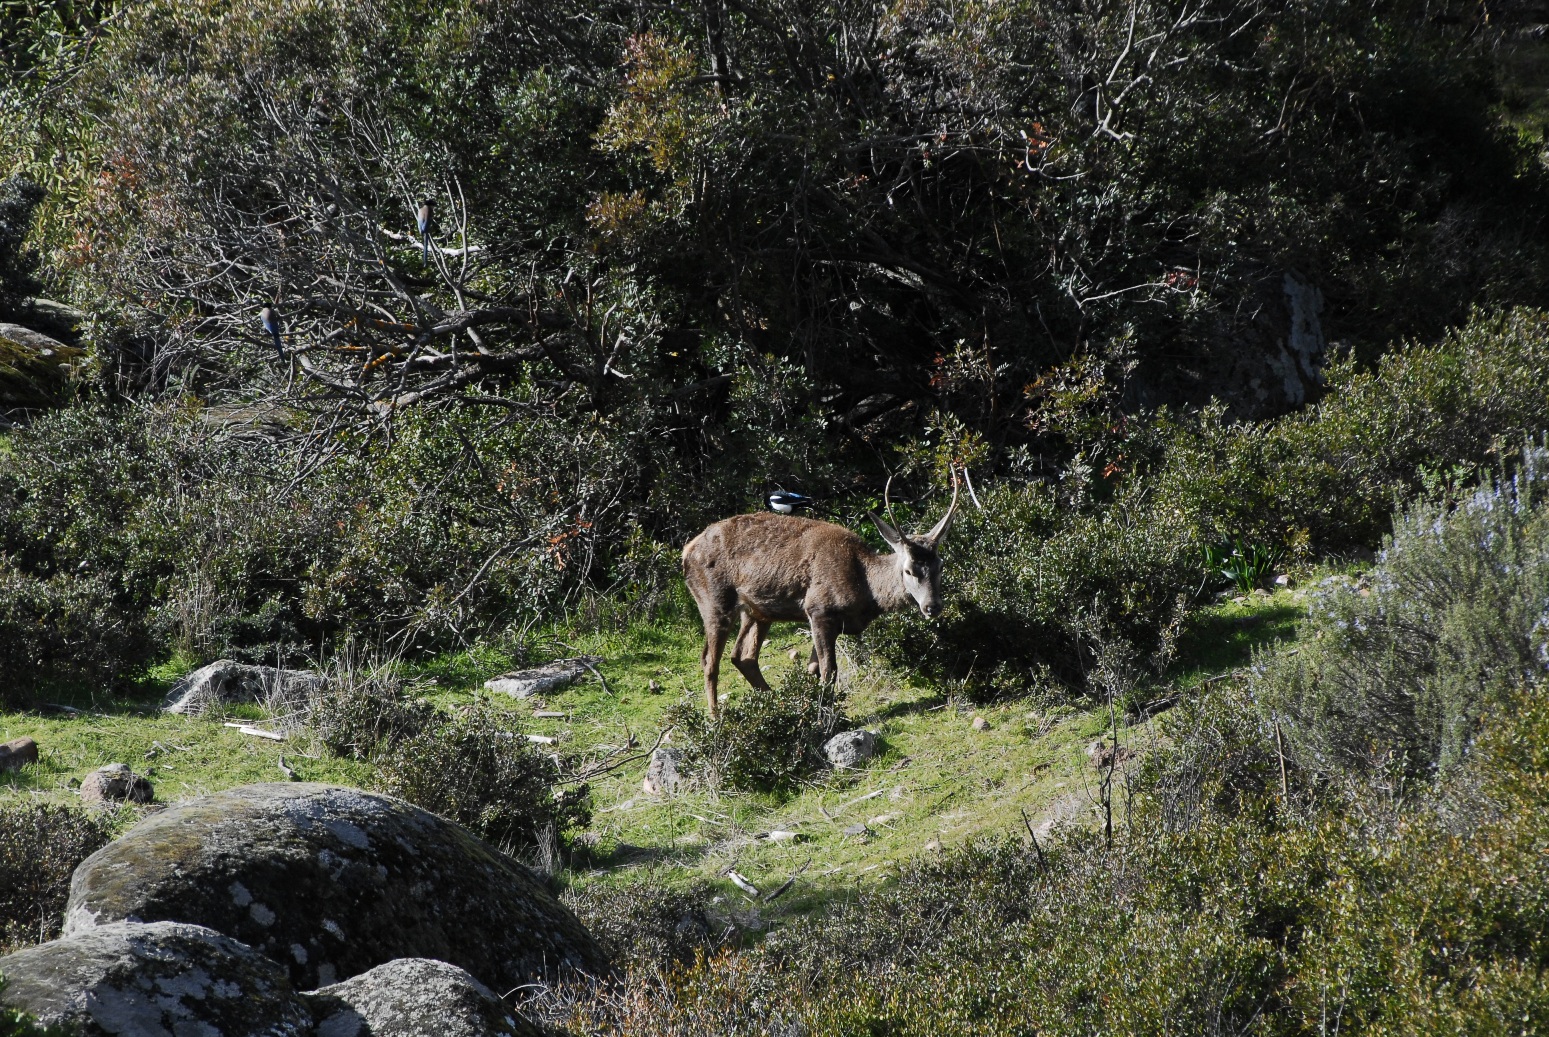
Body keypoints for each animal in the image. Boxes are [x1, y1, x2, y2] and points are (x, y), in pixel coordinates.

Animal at [682, 473, 960, 715]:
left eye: (941, 565)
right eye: (909, 570)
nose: (932, 606)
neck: (865, 589)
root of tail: (686, 551)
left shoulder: (824, 618)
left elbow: (813, 669)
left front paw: (809, 705)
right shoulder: (819, 609)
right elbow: (829, 671)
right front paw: (825, 714)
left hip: (757, 611)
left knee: (743, 656)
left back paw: (777, 704)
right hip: (714, 600)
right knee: (709, 660)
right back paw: (716, 717)